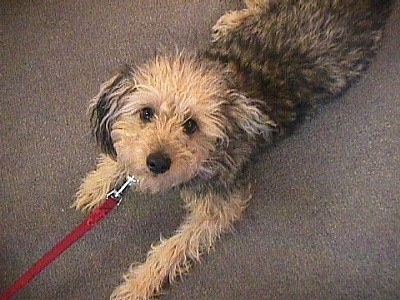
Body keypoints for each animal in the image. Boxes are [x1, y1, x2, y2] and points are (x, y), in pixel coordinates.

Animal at [73, 1, 392, 298]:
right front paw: (97, 183)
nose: (157, 162)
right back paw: (234, 21)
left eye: (191, 125)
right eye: (146, 113)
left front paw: (139, 283)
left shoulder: (221, 206)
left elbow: (173, 248)